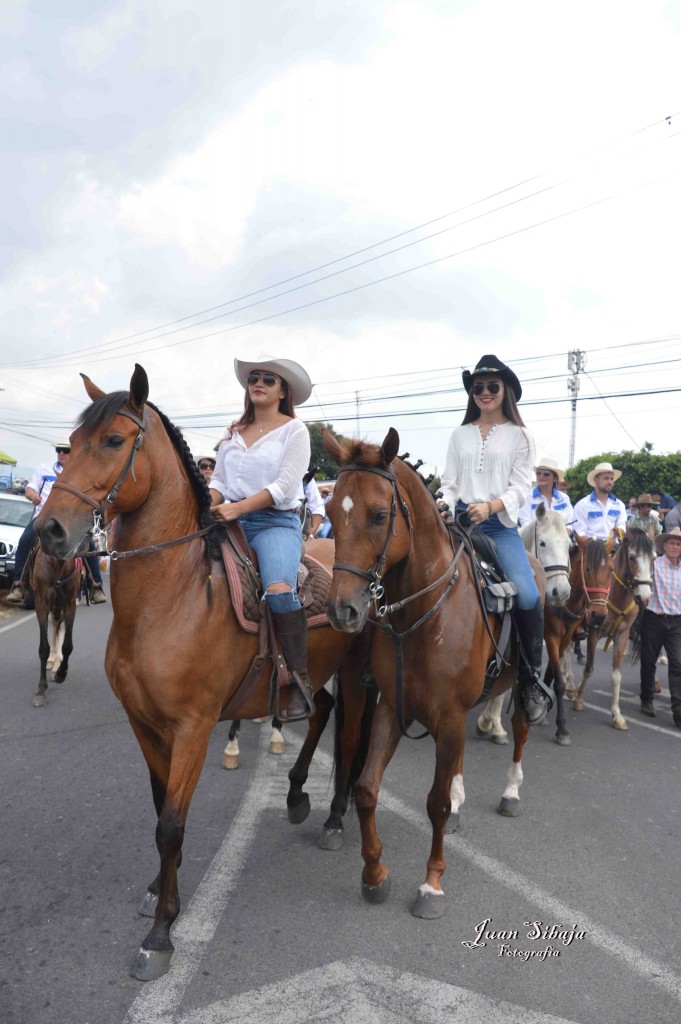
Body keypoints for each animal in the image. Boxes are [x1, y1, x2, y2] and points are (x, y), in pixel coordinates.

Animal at [29, 548, 79, 708]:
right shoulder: (41, 603)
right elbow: (43, 648)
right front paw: (41, 691)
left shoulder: (70, 603)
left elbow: (67, 646)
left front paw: (60, 673)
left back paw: (56, 664)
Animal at [34, 368, 372, 983]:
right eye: (71, 442)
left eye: (113, 441)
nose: (50, 530)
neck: (172, 597)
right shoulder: (144, 723)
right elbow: (158, 806)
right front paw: (157, 891)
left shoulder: (193, 726)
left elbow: (171, 823)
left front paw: (161, 931)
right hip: (314, 676)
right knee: (320, 713)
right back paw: (296, 796)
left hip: (361, 674)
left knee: (355, 733)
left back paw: (336, 819)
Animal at [321, 428, 544, 925]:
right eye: (329, 513)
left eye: (379, 514)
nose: (343, 611)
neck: (425, 612)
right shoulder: (393, 706)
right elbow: (367, 788)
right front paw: (374, 875)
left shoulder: (448, 715)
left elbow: (435, 804)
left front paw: (431, 885)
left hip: (528, 680)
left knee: (521, 729)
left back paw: (512, 794)